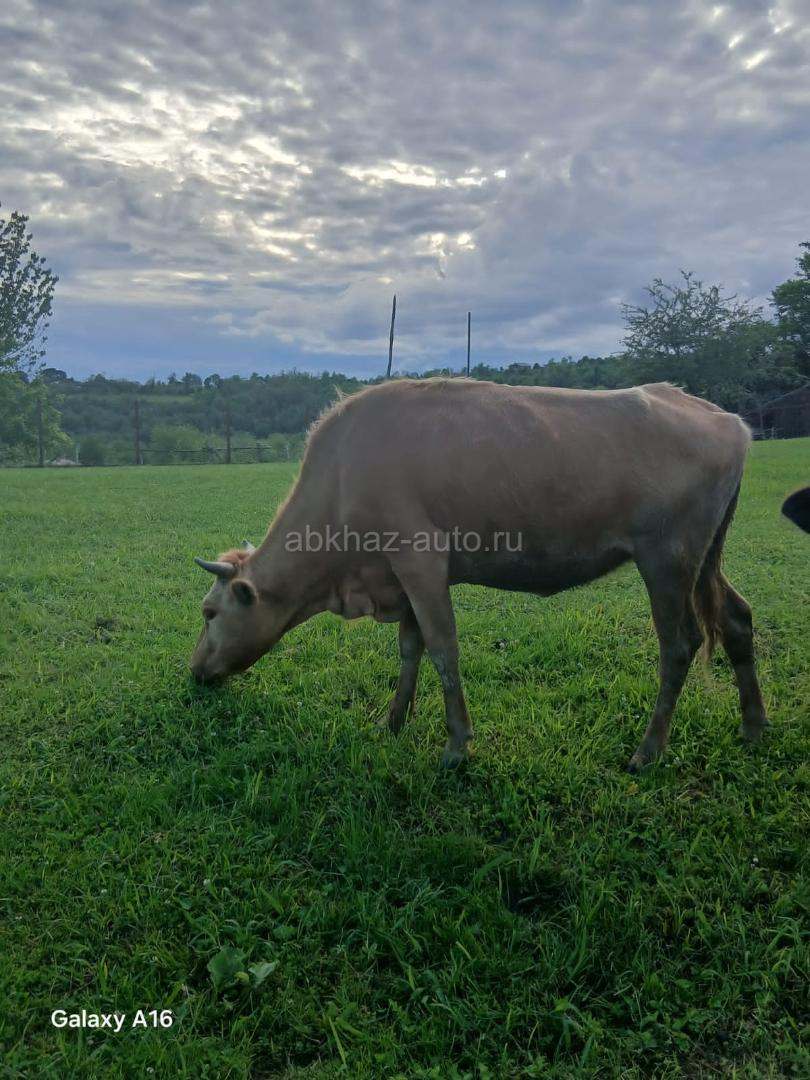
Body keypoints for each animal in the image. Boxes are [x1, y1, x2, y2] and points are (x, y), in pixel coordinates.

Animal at [191, 378, 768, 772]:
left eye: (209, 612)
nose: (194, 671)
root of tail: (727, 420)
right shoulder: (400, 576)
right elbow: (410, 648)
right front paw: (393, 720)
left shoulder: (419, 558)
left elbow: (443, 649)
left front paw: (455, 745)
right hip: (704, 557)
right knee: (736, 618)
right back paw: (754, 723)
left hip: (667, 557)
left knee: (680, 644)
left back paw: (648, 750)